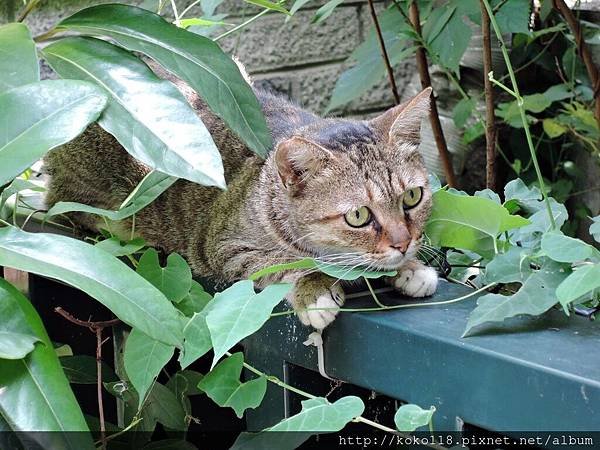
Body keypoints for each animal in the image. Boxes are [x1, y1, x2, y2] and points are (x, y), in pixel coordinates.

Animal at [44, 65, 438, 328]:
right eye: (358, 216)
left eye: (412, 197)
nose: (403, 243)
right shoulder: (223, 246)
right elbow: (286, 263)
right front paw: (316, 289)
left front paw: (412, 268)